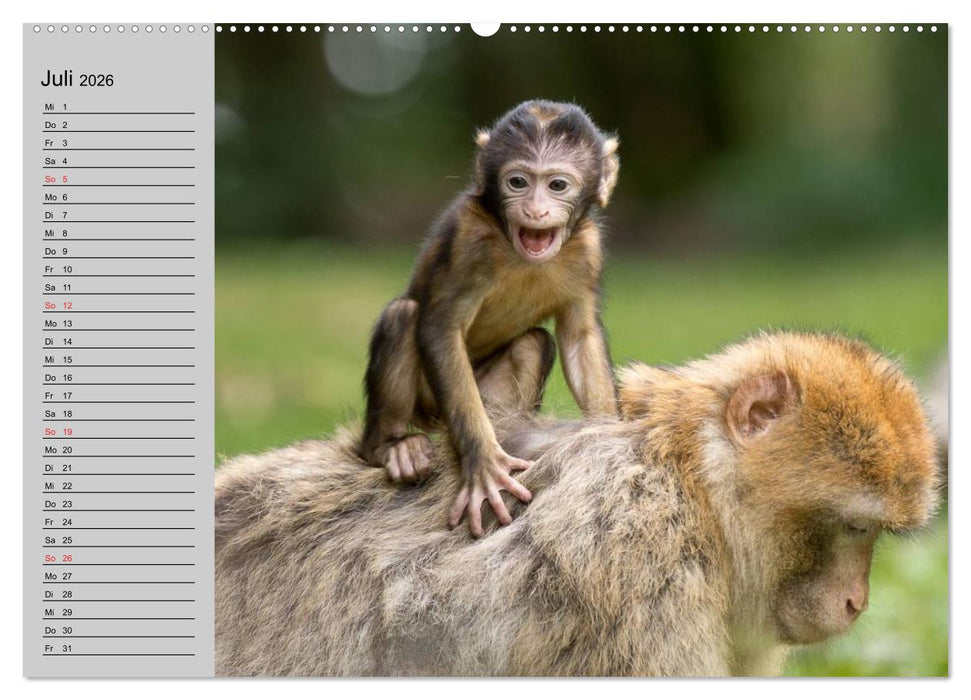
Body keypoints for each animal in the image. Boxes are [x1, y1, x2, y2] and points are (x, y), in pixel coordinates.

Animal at [359, 99, 620, 536]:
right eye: (518, 182)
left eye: (557, 186)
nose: (534, 210)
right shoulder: (469, 239)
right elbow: (440, 329)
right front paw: (483, 465)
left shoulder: (588, 249)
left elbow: (579, 337)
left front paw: (608, 440)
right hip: (429, 406)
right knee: (403, 316)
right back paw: (390, 447)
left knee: (534, 343)